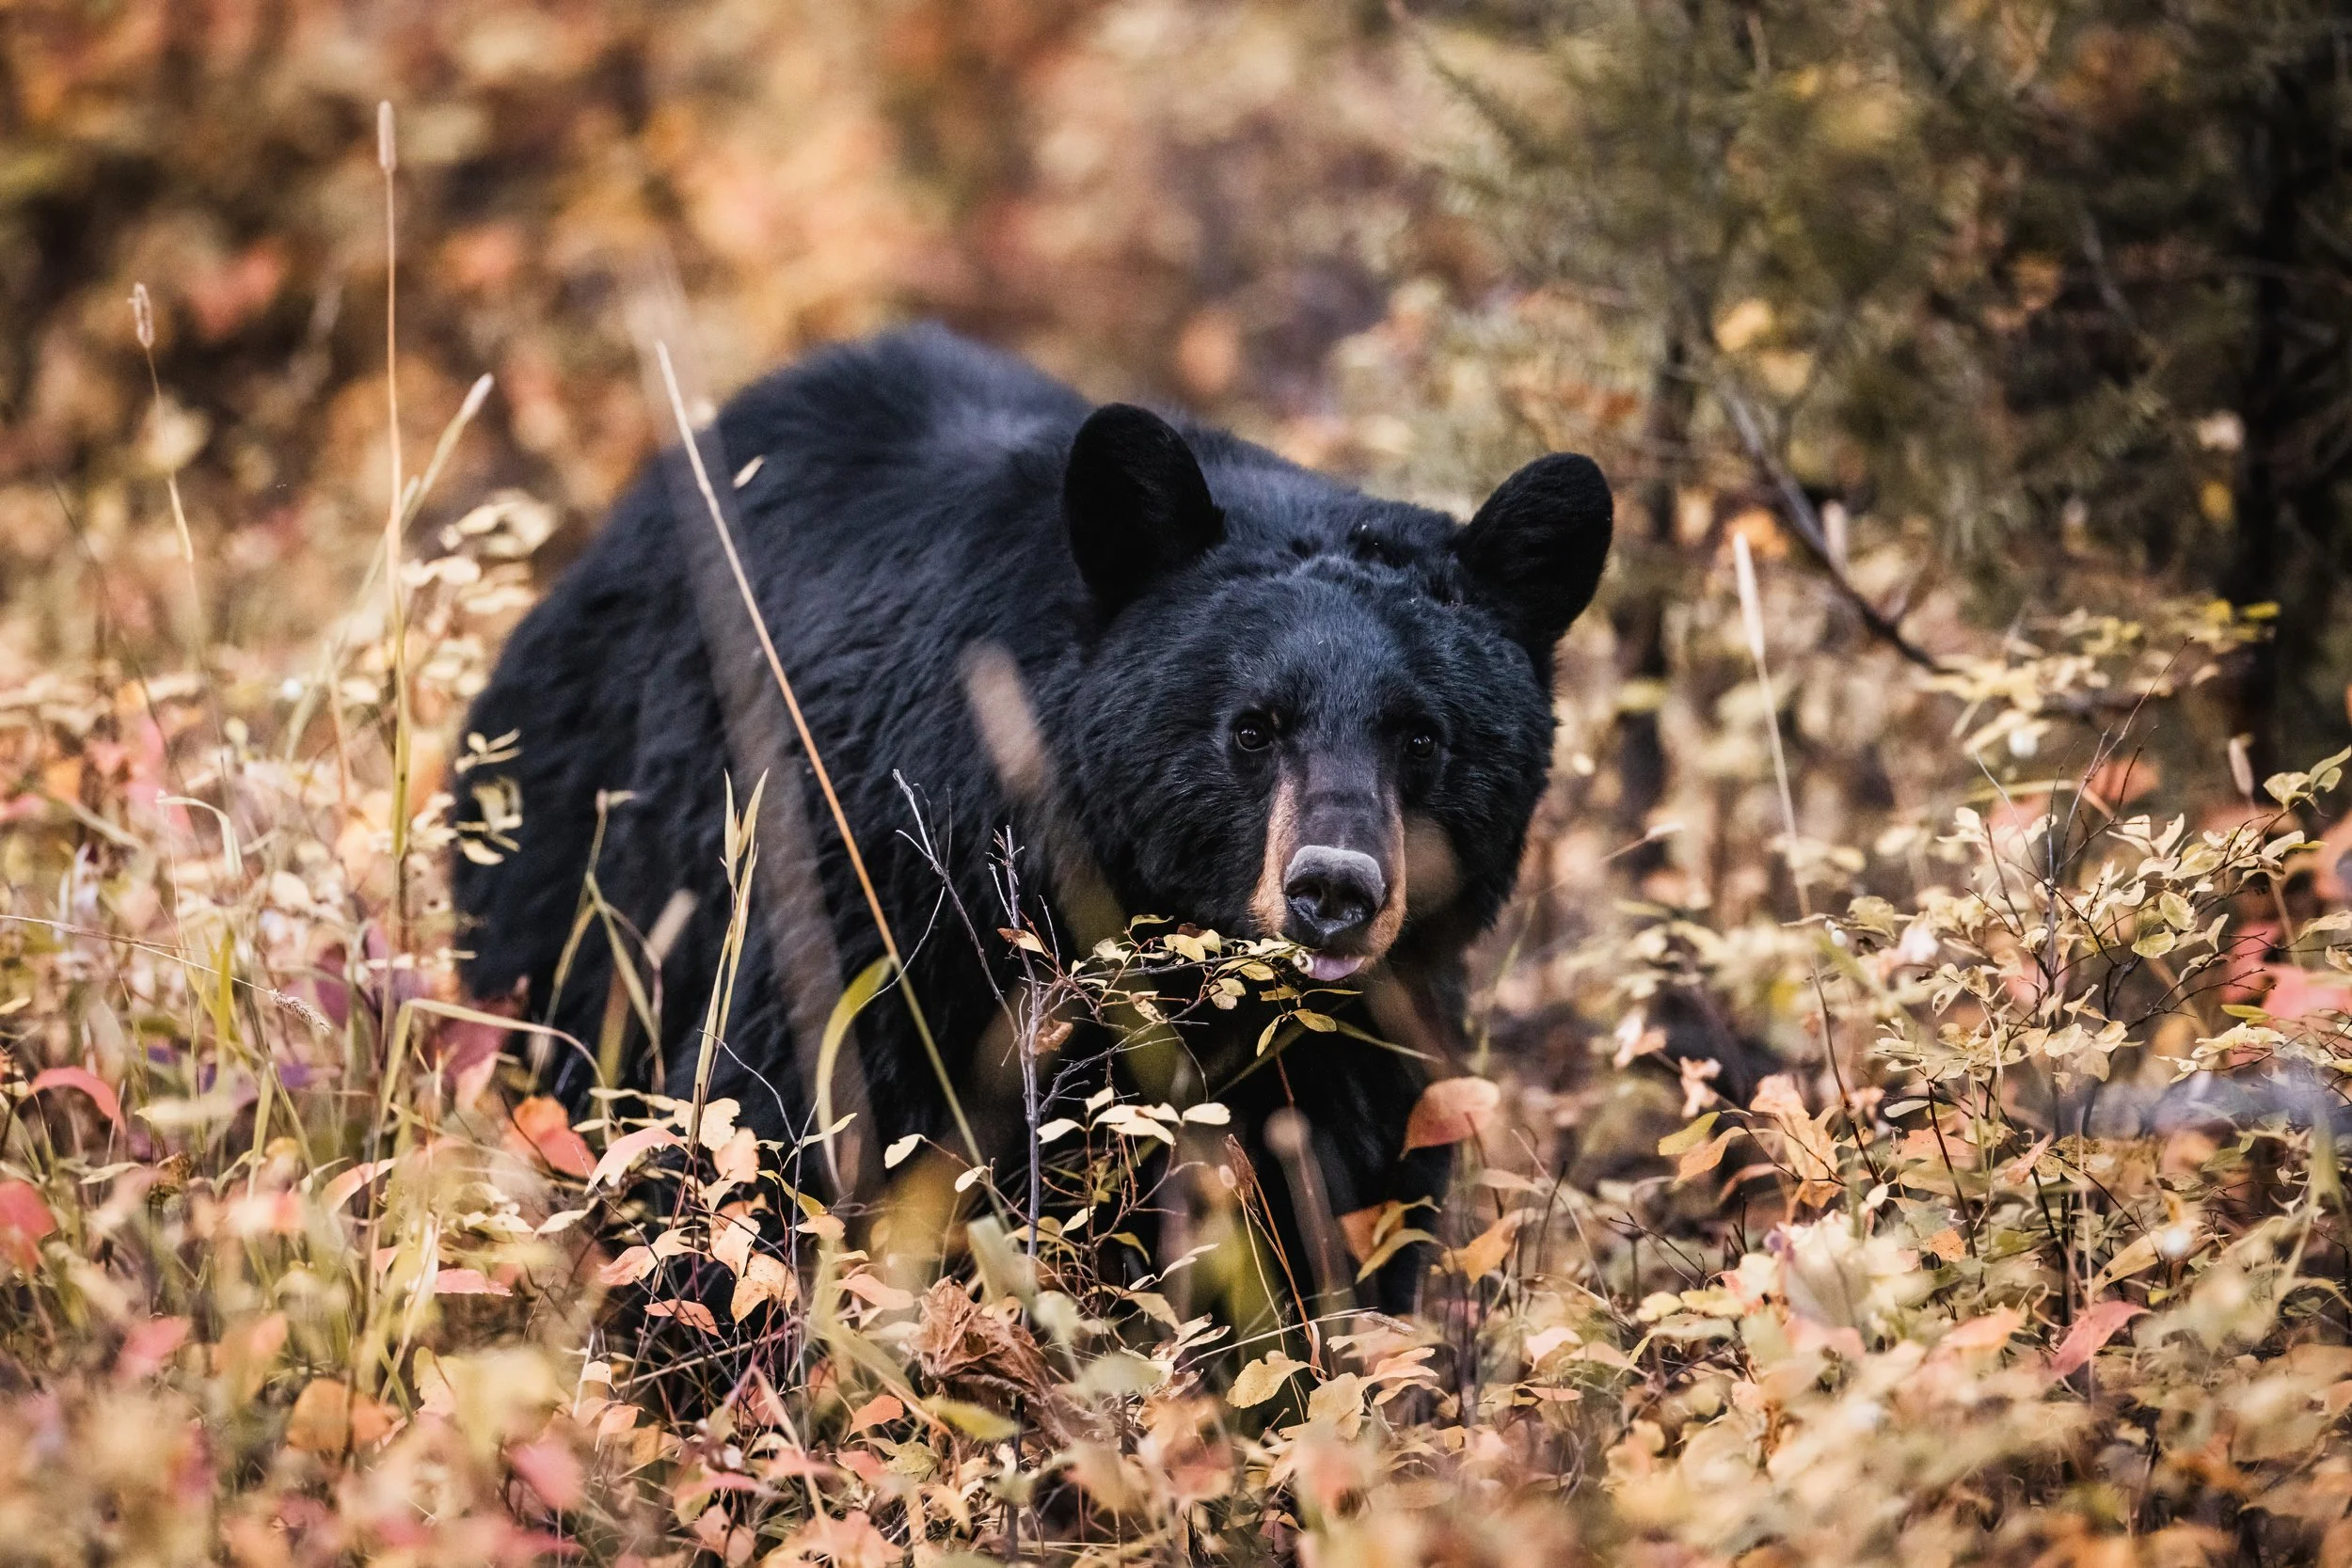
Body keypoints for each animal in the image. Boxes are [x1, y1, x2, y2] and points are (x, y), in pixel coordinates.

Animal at [452, 323, 1611, 1312]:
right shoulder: (881, 906)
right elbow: (771, 1129)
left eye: (1420, 736)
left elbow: (1337, 1212)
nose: (1333, 889)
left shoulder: (1357, 1048)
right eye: (1251, 726)